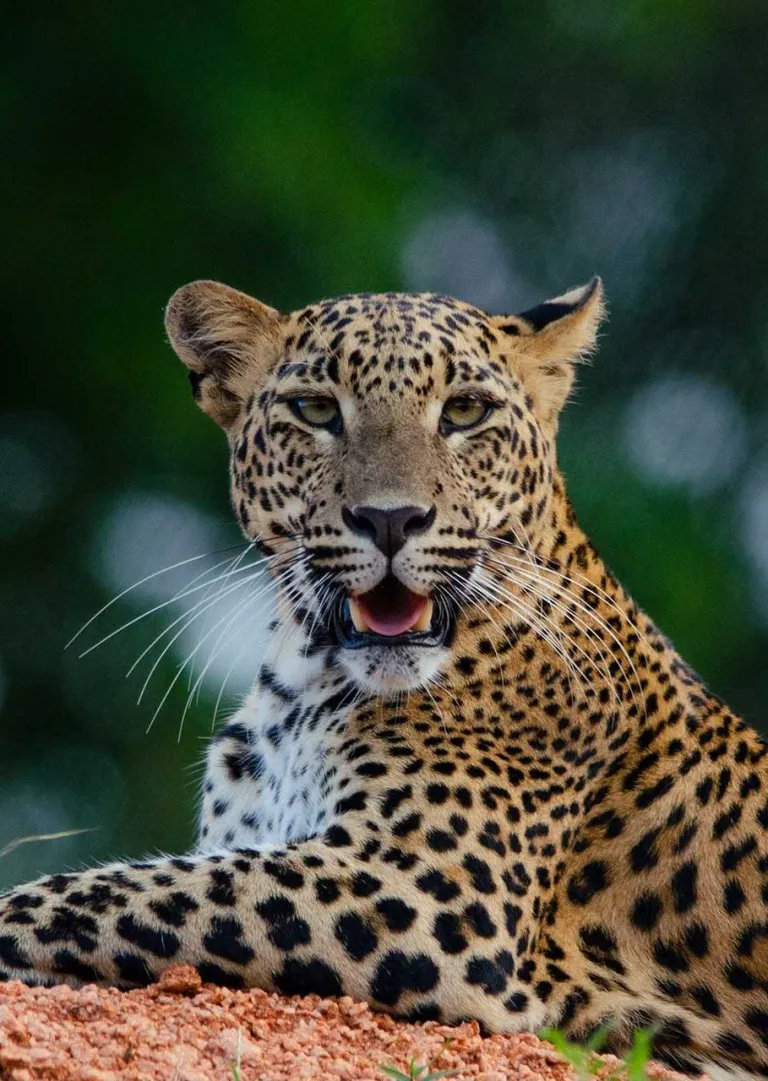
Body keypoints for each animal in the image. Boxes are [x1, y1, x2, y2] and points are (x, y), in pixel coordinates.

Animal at [1, 275, 766, 1081]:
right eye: (315, 410)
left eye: (465, 410)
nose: (392, 519)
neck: (302, 683)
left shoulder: (429, 893)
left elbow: (103, 892)